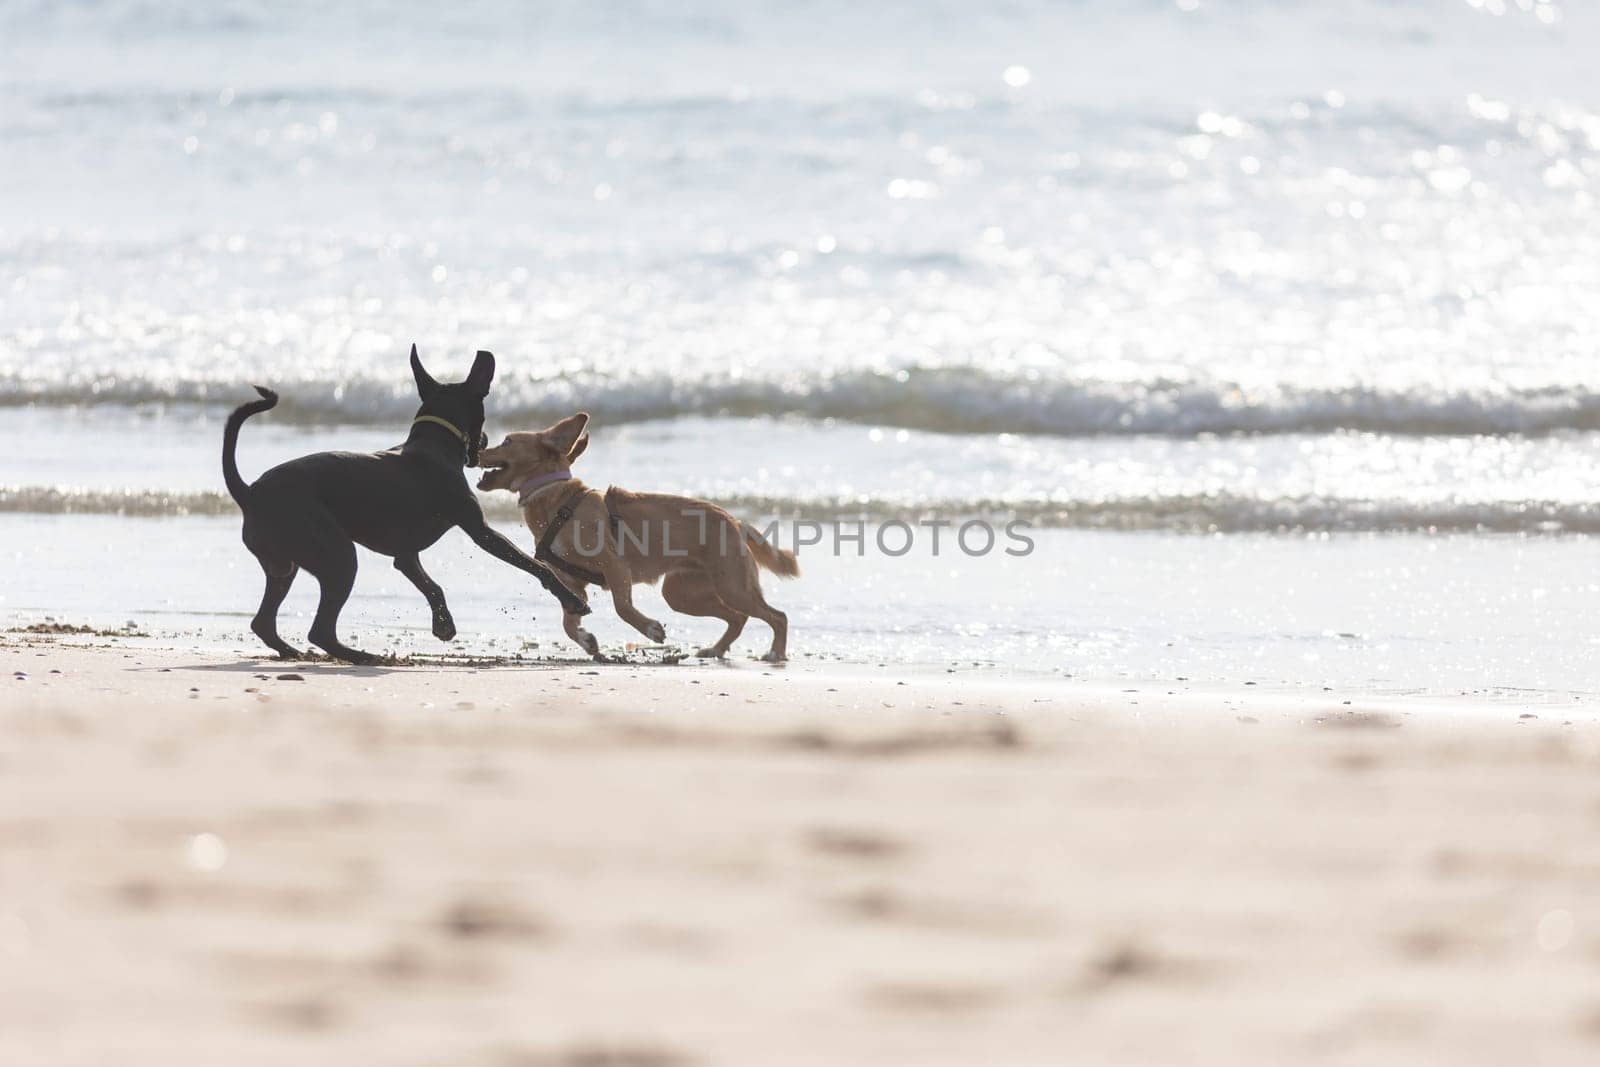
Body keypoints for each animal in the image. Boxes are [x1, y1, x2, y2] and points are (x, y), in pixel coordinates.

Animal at [224, 343, 588, 659]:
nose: (484, 441)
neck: (433, 444)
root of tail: (249, 494)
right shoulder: (480, 531)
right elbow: (536, 565)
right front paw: (571, 600)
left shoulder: (406, 555)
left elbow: (431, 585)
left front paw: (443, 624)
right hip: (335, 554)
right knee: (320, 630)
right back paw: (364, 657)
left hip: (285, 565)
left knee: (264, 621)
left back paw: (293, 651)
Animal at [473, 415, 800, 659]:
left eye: (507, 441)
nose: (478, 448)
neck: (557, 500)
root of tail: (735, 522)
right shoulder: (573, 585)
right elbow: (568, 622)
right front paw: (587, 640)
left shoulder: (615, 566)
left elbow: (622, 607)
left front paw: (650, 629)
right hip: (682, 593)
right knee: (737, 617)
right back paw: (716, 650)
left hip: (731, 585)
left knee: (777, 616)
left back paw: (775, 653)